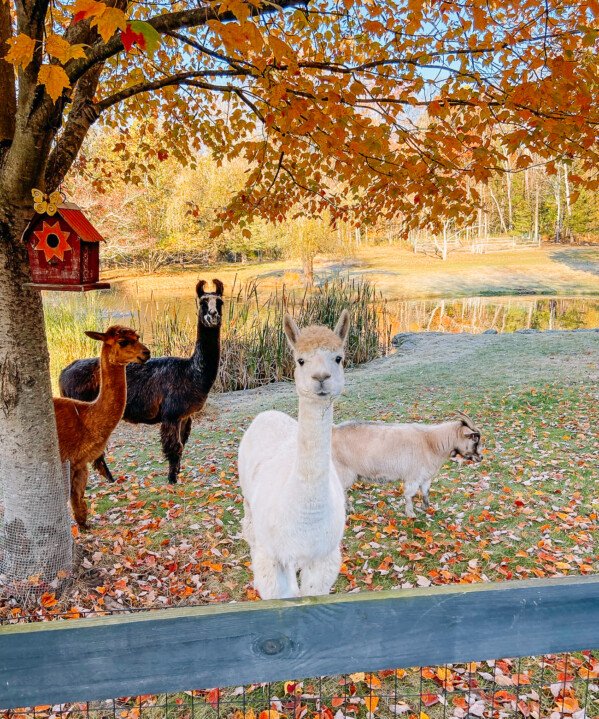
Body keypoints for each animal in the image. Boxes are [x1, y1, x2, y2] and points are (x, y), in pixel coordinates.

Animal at [238, 312, 352, 600]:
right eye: (300, 360)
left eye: (338, 357)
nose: (320, 377)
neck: (305, 517)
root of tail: (268, 413)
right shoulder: (273, 557)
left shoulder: (324, 558)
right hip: (247, 496)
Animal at [332, 416, 482, 516]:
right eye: (474, 439)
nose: (481, 457)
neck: (430, 442)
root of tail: (333, 431)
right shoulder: (413, 477)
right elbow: (409, 495)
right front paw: (411, 514)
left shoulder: (425, 477)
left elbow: (425, 492)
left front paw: (427, 508)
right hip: (344, 471)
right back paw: (348, 510)